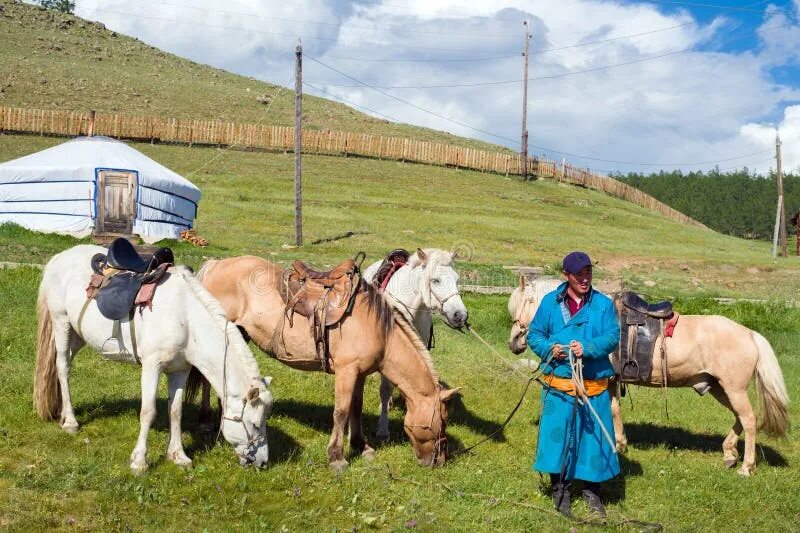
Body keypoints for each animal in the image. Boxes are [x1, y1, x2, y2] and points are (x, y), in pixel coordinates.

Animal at [34, 243, 274, 472]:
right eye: (254, 424)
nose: (262, 462)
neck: (186, 318)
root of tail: (59, 258)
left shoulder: (180, 371)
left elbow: (175, 411)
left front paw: (178, 456)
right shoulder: (152, 366)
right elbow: (148, 411)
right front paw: (139, 461)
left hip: (79, 334)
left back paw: (62, 412)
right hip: (62, 323)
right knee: (63, 367)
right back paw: (70, 422)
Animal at [196, 256, 460, 472]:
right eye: (443, 421)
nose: (440, 460)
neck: (380, 331)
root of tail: (215, 265)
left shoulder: (360, 373)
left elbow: (355, 408)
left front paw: (361, 446)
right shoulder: (346, 371)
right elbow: (341, 412)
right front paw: (337, 457)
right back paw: (205, 419)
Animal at [506, 278, 788, 474]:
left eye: (525, 304)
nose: (514, 342)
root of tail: (750, 334)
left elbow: (611, 409)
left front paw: (618, 443)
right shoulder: (611, 381)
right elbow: (614, 409)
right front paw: (620, 442)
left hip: (733, 388)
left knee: (749, 420)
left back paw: (746, 467)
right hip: (720, 387)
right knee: (741, 418)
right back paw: (729, 454)